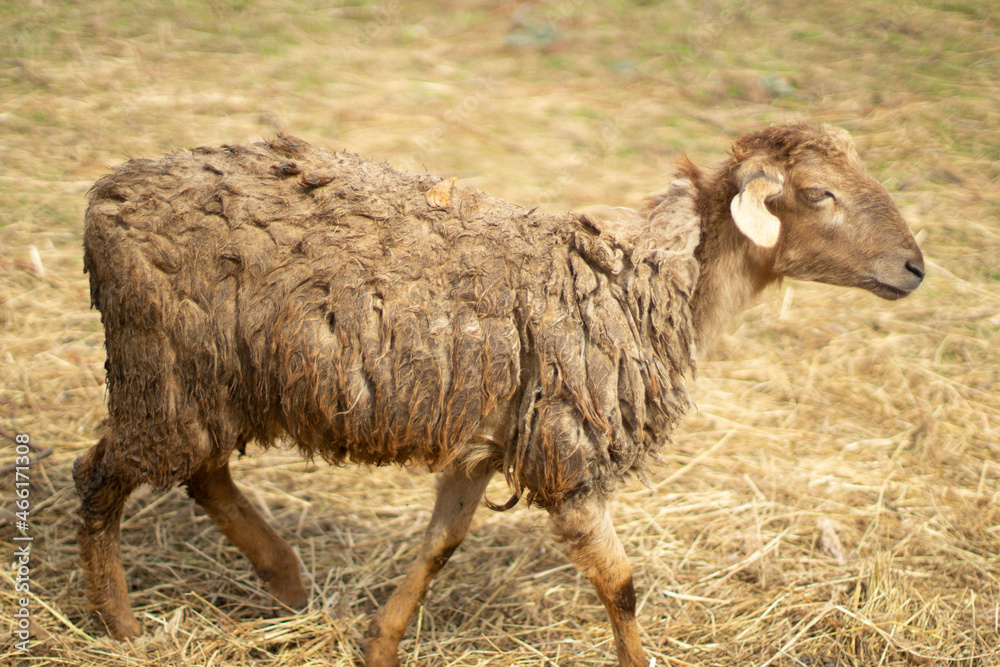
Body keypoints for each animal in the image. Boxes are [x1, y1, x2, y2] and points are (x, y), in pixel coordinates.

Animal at [75, 124, 924, 666]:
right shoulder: (568, 450)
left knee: (202, 469)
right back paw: (121, 623)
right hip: (159, 364)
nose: (916, 267)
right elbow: (620, 584)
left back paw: (284, 578)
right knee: (105, 476)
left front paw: (380, 643)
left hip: (201, 376)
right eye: (819, 194)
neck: (658, 283)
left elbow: (441, 542)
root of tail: (106, 195)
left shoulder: (487, 440)